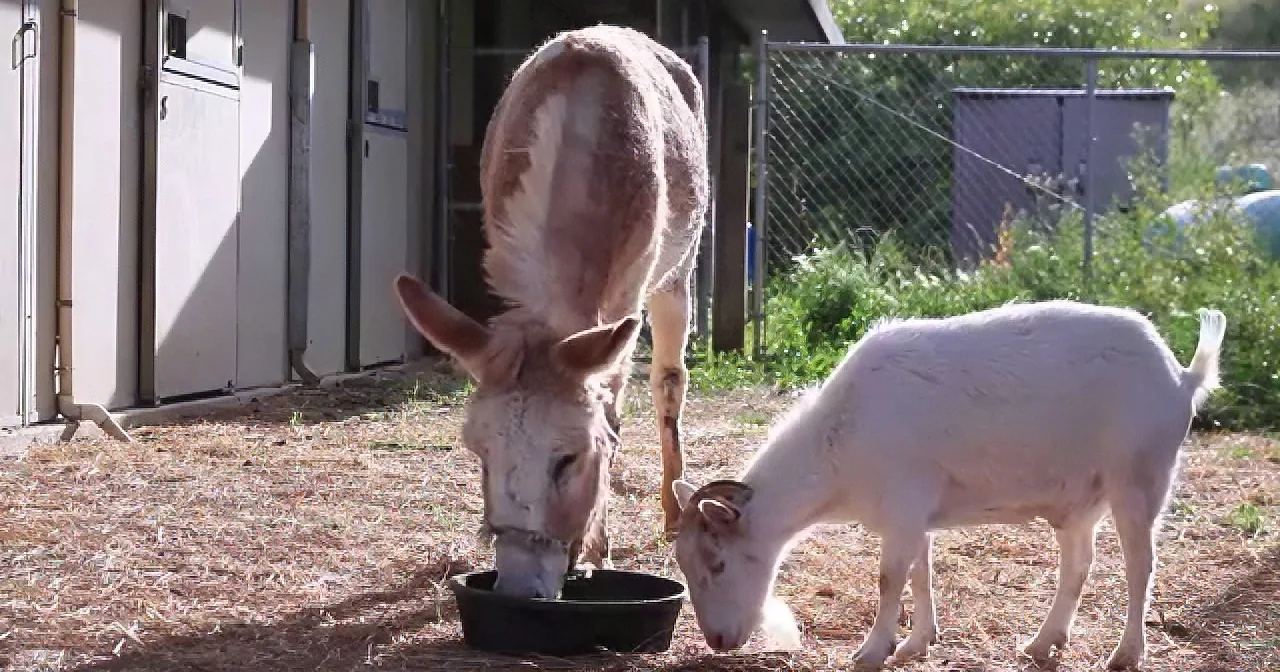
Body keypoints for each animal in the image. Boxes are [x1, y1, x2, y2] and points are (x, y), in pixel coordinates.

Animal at [672, 300, 1227, 670]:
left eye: (718, 563)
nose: (717, 640)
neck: (840, 439)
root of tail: (1182, 377)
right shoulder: (915, 515)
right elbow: (921, 572)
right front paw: (917, 643)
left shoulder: (904, 503)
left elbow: (890, 577)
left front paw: (872, 650)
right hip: (1081, 499)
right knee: (1078, 565)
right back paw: (1041, 643)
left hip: (1139, 475)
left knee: (1140, 566)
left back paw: (1125, 653)